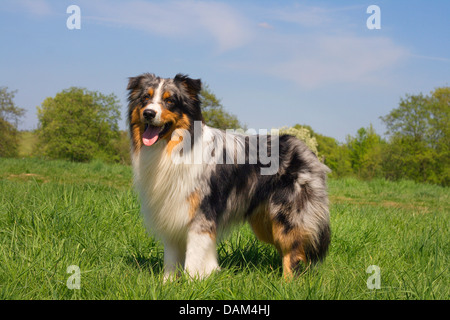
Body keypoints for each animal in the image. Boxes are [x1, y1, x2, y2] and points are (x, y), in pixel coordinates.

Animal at [126, 74, 330, 278]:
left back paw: (287, 283)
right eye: (145, 98)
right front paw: (167, 283)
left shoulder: (200, 215)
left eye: (170, 101)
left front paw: (192, 282)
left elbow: (193, 259)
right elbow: (170, 260)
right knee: (294, 251)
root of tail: (307, 150)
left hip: (287, 217)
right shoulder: (171, 213)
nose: (149, 113)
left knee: (292, 251)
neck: (175, 148)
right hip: (264, 222)